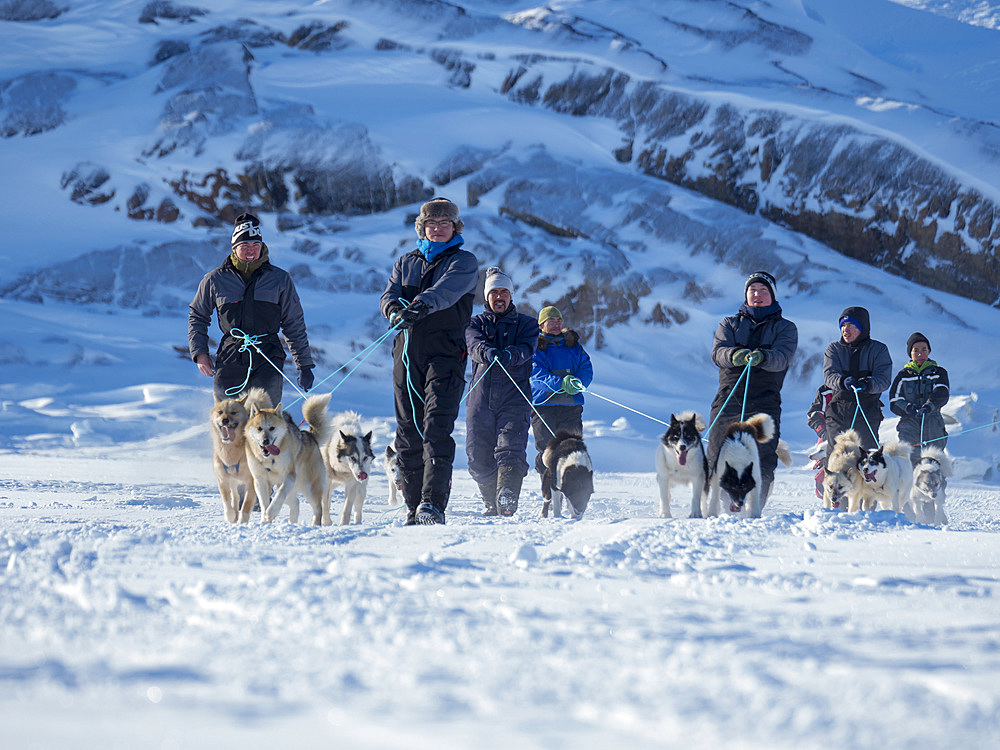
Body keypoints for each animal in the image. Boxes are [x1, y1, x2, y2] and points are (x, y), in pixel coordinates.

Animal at [210, 390, 272, 524]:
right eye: (220, 412)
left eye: (233, 412)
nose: (225, 420)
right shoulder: (223, 479)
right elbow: (227, 502)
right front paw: (230, 516)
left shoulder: (252, 482)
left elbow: (246, 505)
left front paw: (242, 521)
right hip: (233, 481)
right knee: (236, 496)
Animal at [244, 396, 334, 524]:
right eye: (259, 428)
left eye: (272, 428)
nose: (265, 441)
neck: (269, 460)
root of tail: (309, 435)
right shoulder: (260, 481)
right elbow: (264, 504)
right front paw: (265, 521)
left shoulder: (289, 476)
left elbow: (280, 494)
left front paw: (271, 513)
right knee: (296, 503)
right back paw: (293, 522)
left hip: (308, 487)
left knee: (318, 508)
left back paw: (315, 525)